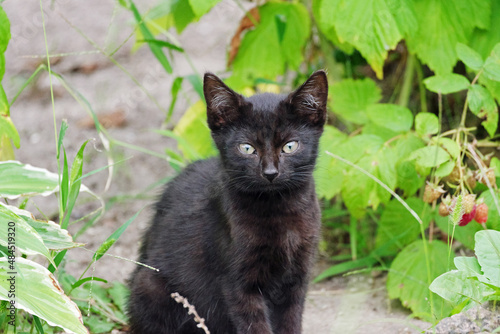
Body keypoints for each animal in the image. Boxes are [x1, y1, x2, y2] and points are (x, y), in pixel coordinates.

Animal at [128, 69, 328, 332]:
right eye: (247, 148)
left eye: (290, 146)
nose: (270, 173)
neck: (278, 210)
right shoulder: (238, 285)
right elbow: (255, 326)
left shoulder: (298, 277)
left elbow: (290, 322)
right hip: (149, 285)